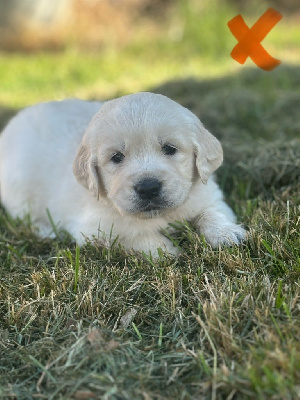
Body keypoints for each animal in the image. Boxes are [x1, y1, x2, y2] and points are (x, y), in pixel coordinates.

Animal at [0, 93, 246, 256]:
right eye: (116, 157)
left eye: (170, 148)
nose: (148, 188)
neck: (161, 215)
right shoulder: (95, 229)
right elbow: (134, 234)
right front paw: (167, 251)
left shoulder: (208, 195)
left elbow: (212, 213)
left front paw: (226, 233)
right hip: (18, 191)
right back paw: (46, 230)